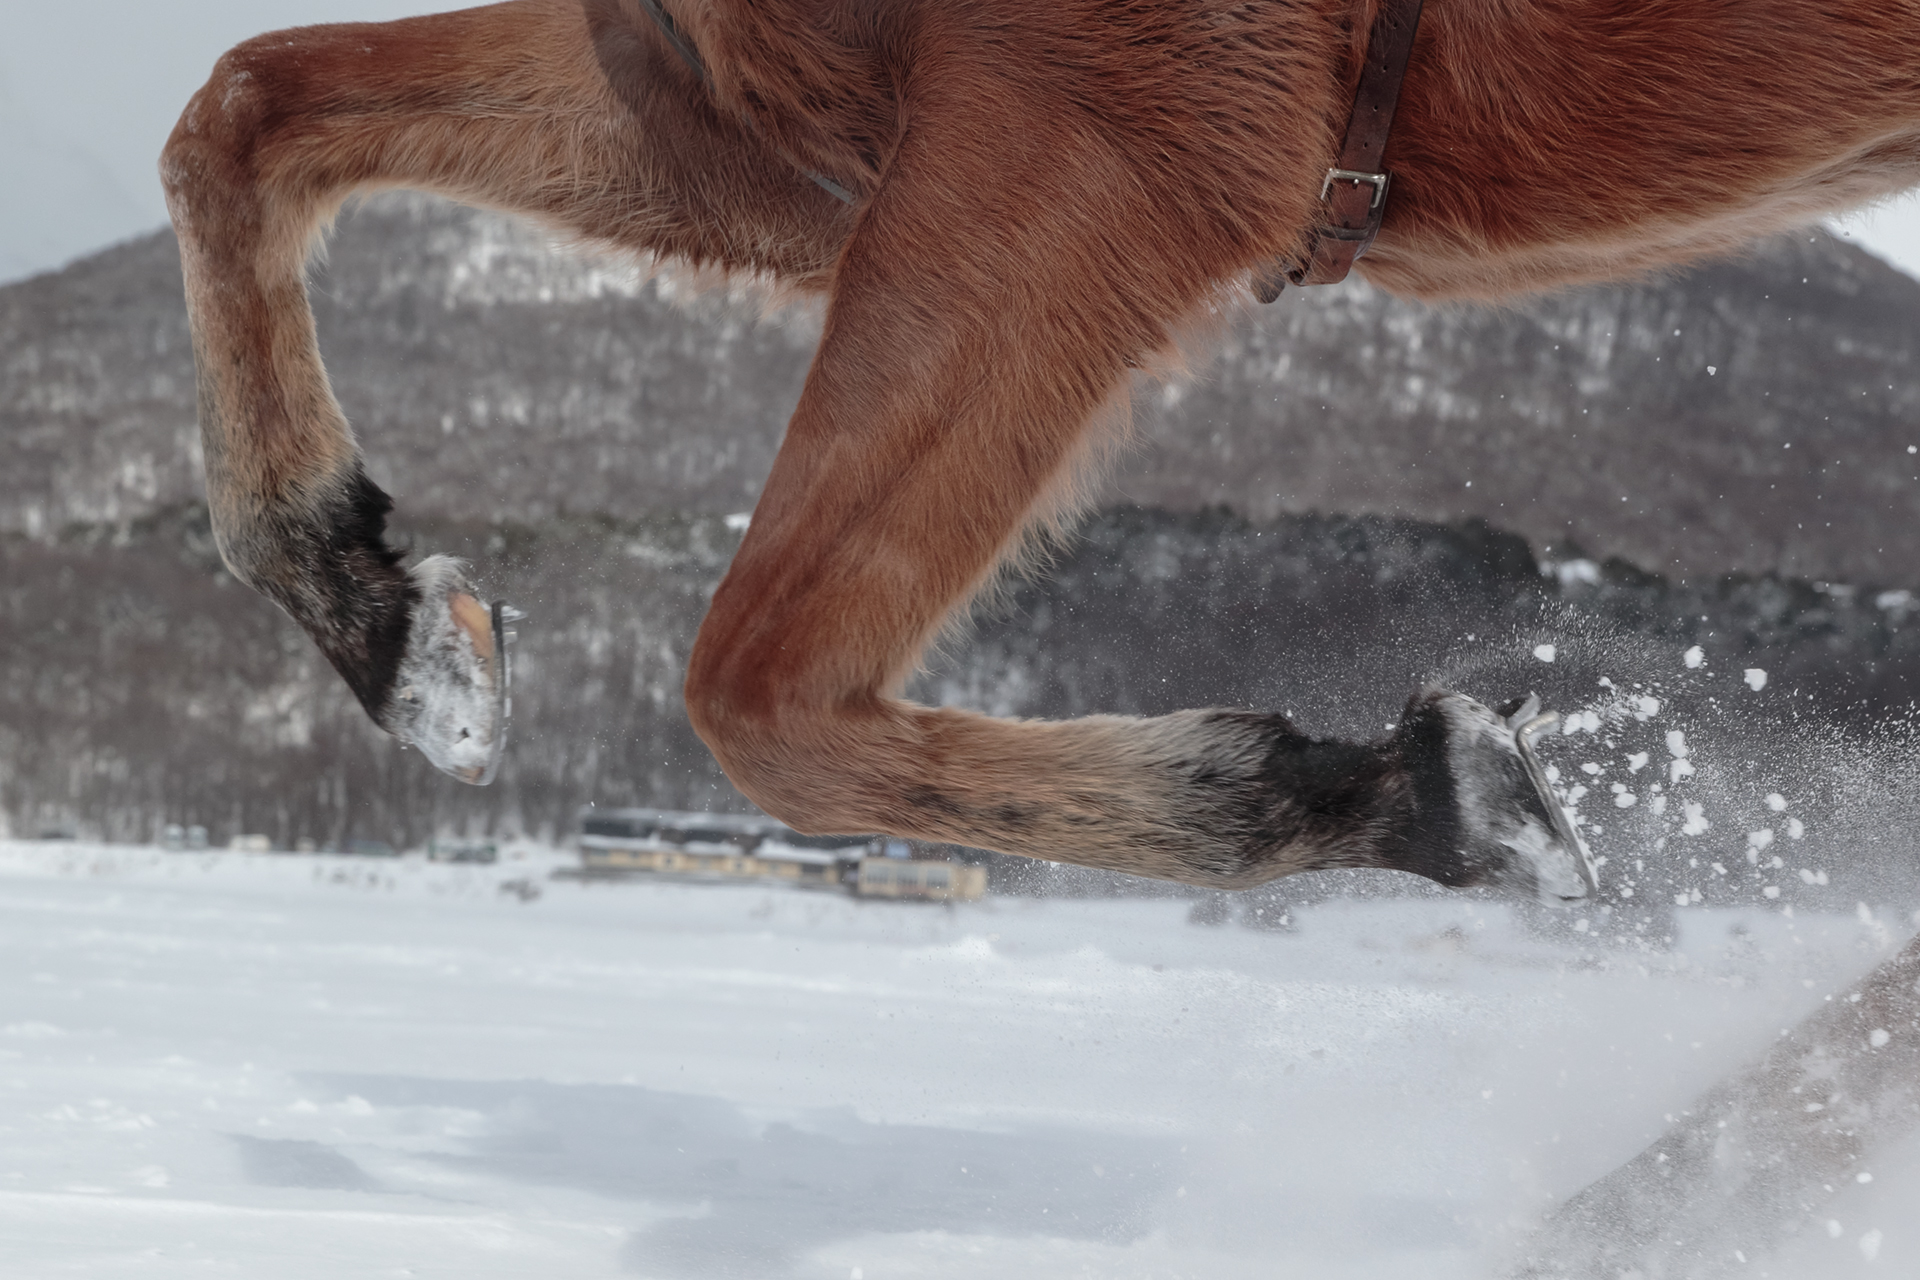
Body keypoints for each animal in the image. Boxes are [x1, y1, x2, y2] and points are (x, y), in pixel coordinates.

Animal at [161, 0, 1920, 901]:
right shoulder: (750, 125)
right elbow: (244, 111)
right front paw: (392, 625)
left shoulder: (1094, 139)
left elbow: (764, 691)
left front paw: (1402, 791)